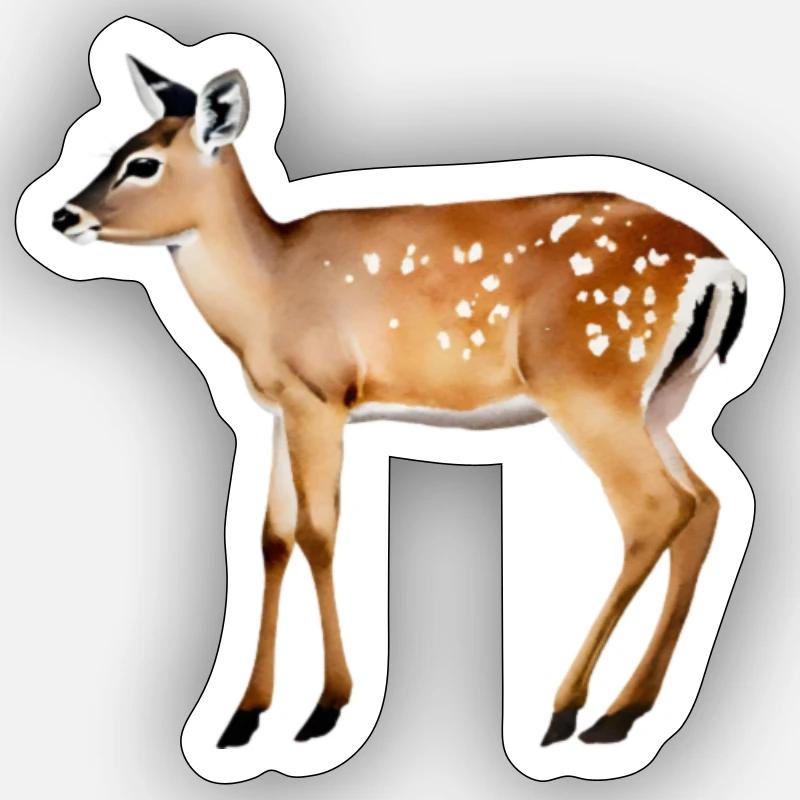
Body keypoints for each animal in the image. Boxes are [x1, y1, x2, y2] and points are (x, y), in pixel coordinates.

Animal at [50, 56, 747, 750]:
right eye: (118, 149)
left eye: (143, 163)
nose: (63, 216)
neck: (266, 291)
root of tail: (725, 269)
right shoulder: (279, 408)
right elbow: (271, 537)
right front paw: (243, 716)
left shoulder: (321, 394)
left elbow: (318, 531)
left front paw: (326, 706)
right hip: (659, 399)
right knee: (705, 503)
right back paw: (625, 710)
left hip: (588, 384)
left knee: (655, 508)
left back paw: (568, 710)